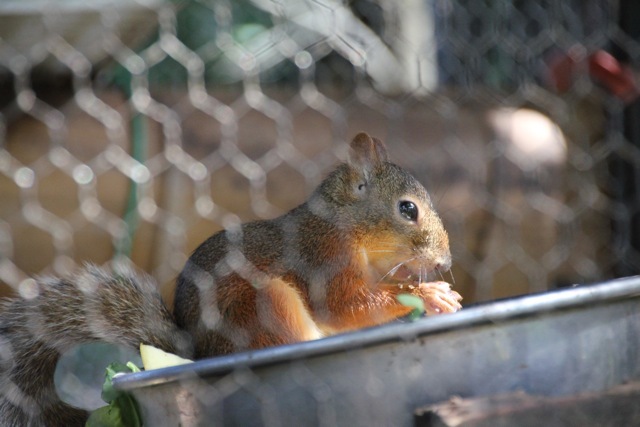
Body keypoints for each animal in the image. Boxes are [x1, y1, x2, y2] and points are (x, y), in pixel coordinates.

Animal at [0, 132, 460, 426]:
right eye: (407, 209)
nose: (445, 261)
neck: (345, 224)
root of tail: (197, 351)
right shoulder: (324, 255)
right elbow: (344, 306)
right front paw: (430, 294)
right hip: (262, 304)